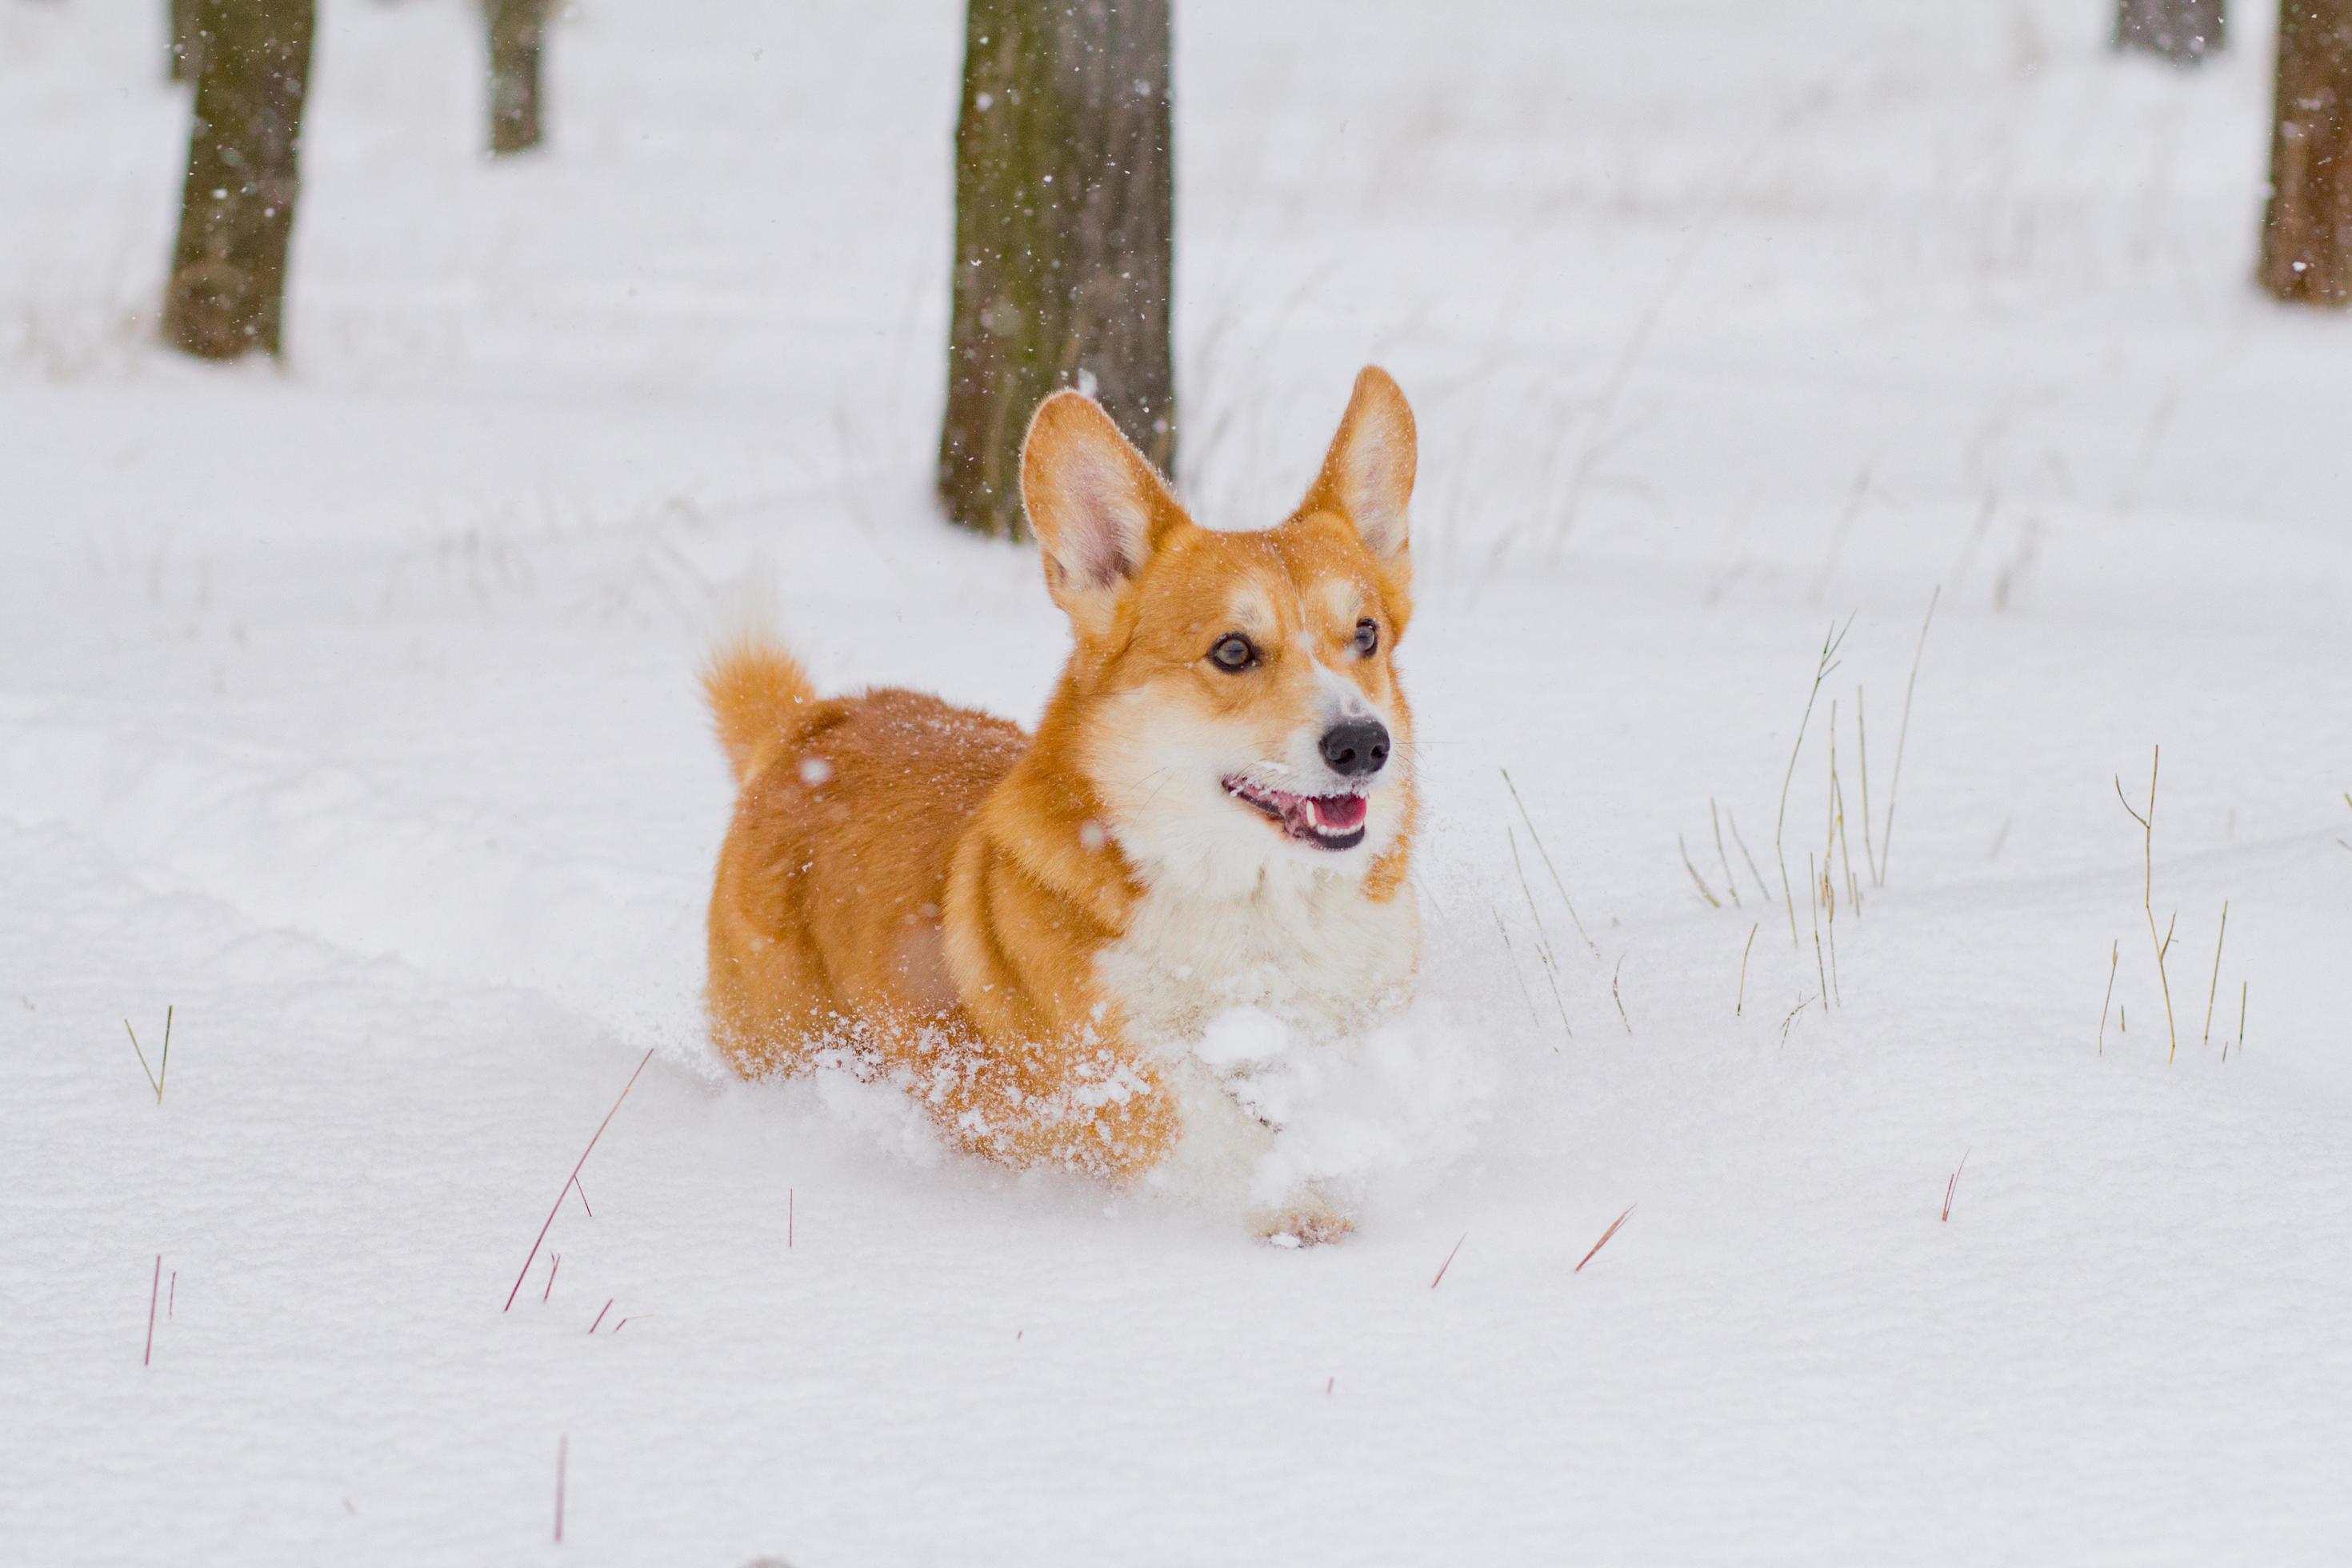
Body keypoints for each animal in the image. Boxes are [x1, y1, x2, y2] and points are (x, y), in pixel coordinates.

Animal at [696, 364, 1420, 1241]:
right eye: (1233, 650)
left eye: (1366, 635)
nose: (1363, 744)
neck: (1258, 901)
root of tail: (805, 728)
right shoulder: (1118, 1076)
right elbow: (1216, 1130)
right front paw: (1304, 1207)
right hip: (785, 1047)